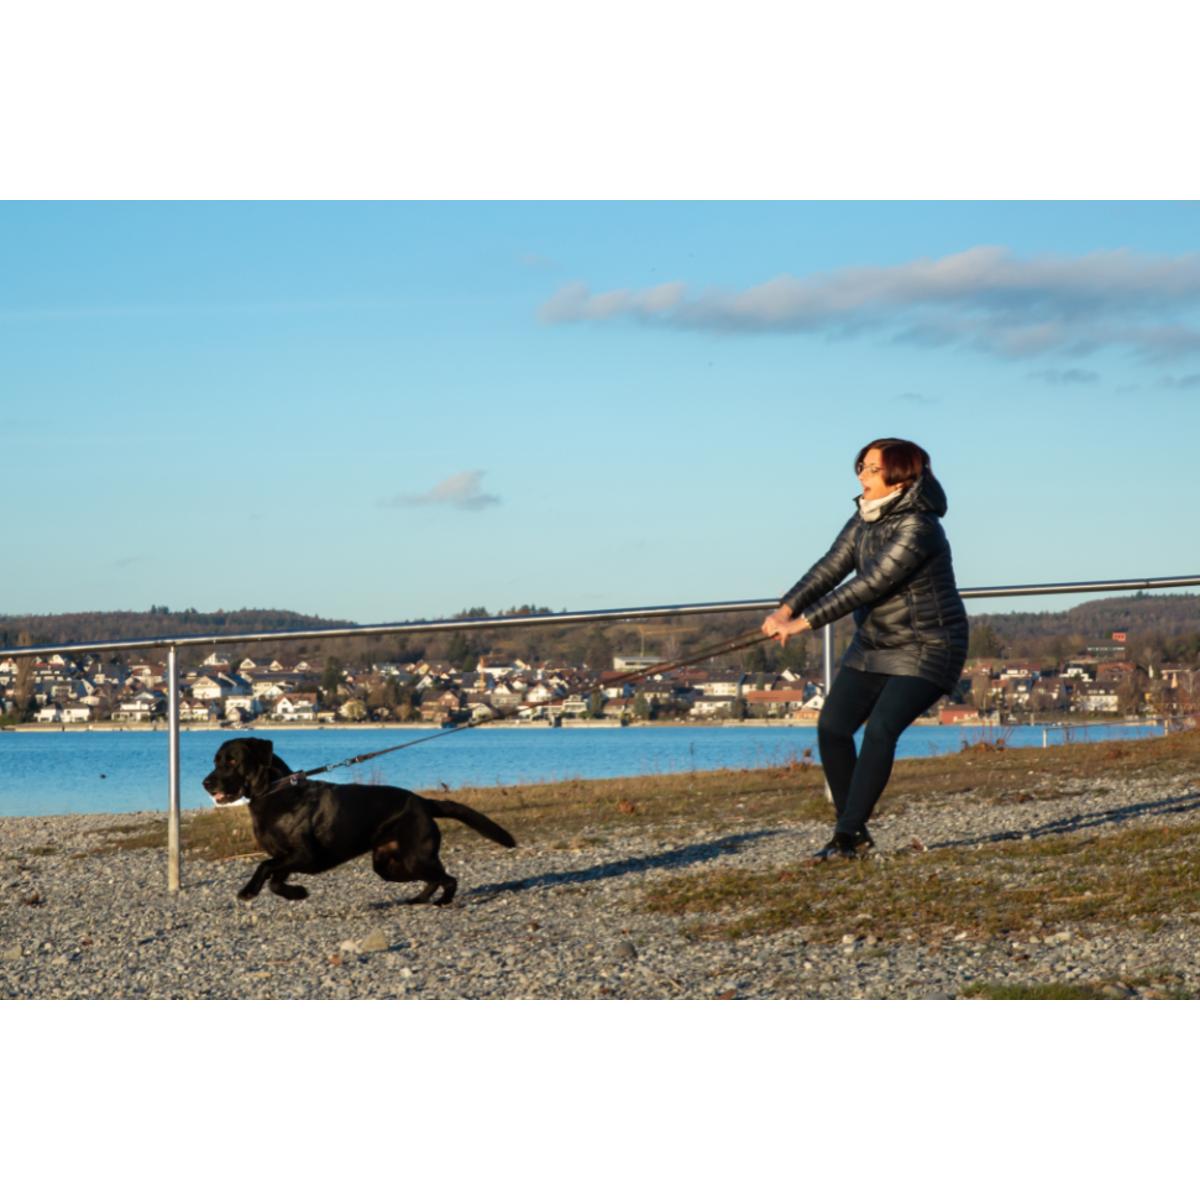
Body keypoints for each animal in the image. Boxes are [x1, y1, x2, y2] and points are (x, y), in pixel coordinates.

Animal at [200, 734, 516, 902]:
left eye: (232, 761)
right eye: (215, 761)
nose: (206, 783)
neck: (275, 791)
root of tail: (424, 802)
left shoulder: (305, 856)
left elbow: (264, 866)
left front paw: (248, 890)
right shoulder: (287, 859)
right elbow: (275, 881)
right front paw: (298, 892)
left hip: (415, 856)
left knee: (448, 878)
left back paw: (443, 902)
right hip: (390, 865)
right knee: (436, 877)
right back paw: (418, 899)